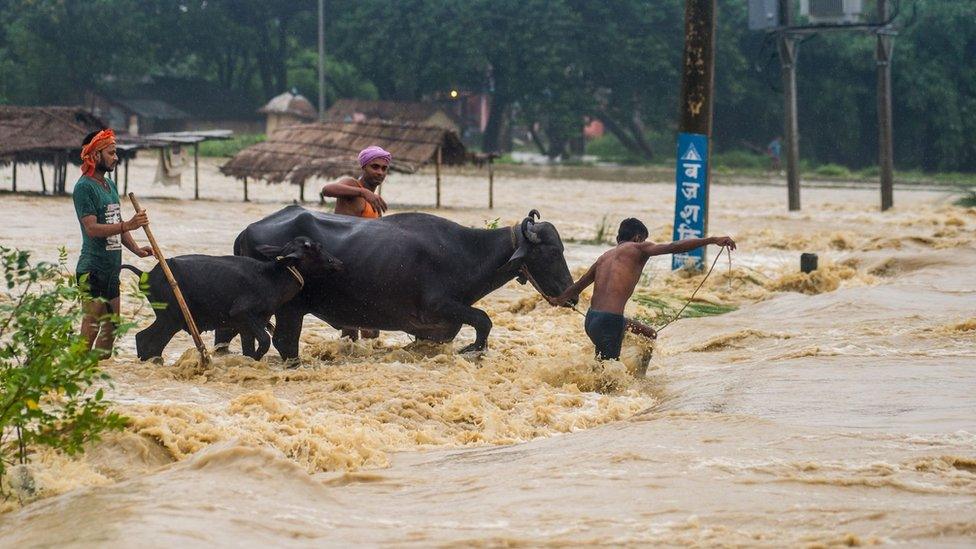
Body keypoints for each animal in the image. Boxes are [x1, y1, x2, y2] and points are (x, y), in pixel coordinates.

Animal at [124, 234, 344, 360]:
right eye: (316, 248)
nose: (338, 262)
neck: (271, 277)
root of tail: (146, 273)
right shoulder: (244, 313)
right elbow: (265, 341)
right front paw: (258, 357)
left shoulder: (248, 326)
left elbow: (250, 348)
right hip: (171, 318)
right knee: (145, 339)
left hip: (169, 319)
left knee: (147, 341)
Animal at [217, 206, 576, 360]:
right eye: (551, 252)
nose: (571, 296)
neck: (468, 251)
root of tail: (248, 230)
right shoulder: (439, 305)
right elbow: (483, 320)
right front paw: (473, 349)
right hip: (289, 308)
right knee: (283, 343)